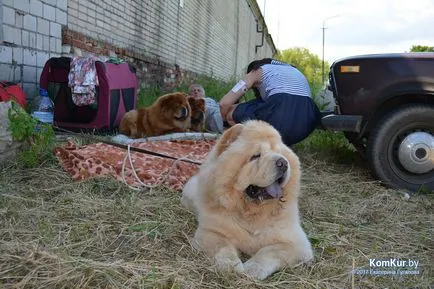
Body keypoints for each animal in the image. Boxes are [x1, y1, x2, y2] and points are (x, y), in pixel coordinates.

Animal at [181, 120, 314, 280]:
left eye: (280, 154)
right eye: (256, 156)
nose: (283, 162)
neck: (252, 212)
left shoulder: (297, 244)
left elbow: (270, 250)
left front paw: (252, 268)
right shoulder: (209, 232)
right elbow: (223, 247)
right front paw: (231, 266)